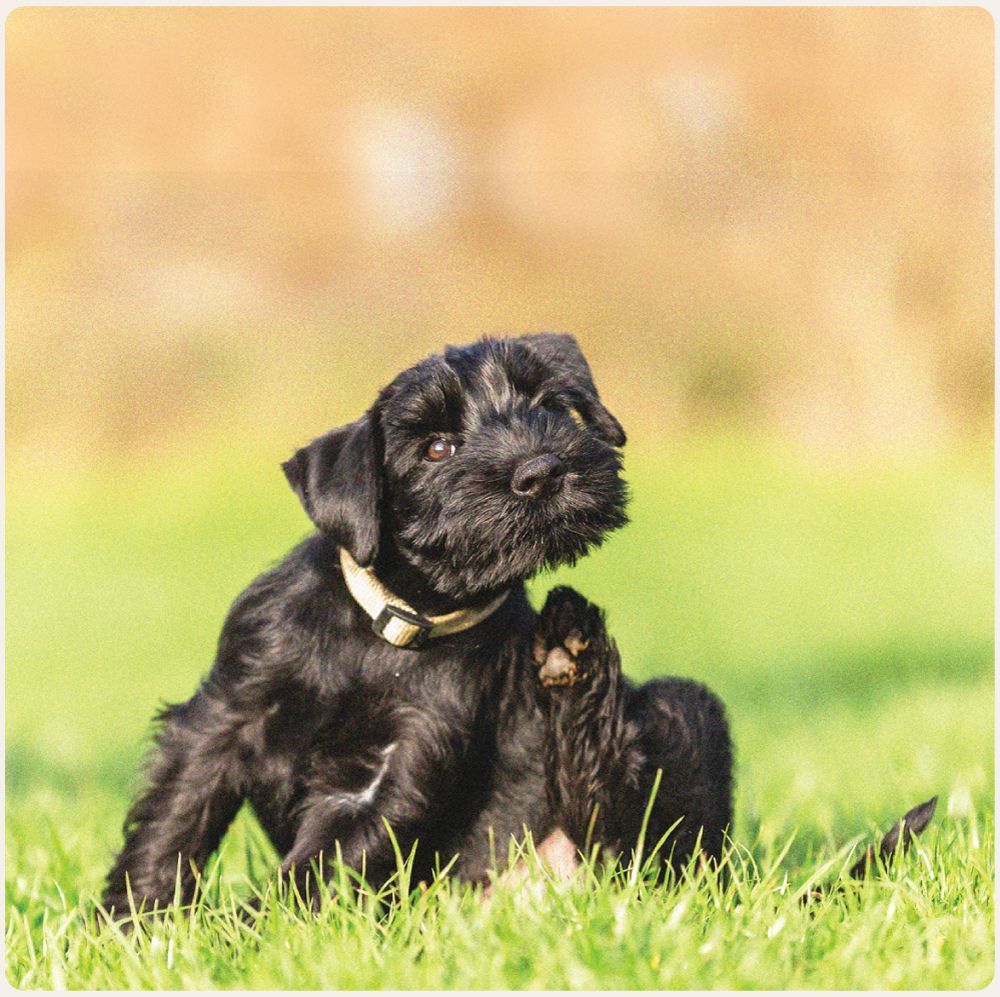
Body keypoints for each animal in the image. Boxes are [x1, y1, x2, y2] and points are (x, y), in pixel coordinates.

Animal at [99, 332, 928, 920]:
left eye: (549, 407)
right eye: (435, 445)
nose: (541, 472)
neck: (389, 628)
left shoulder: (405, 760)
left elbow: (327, 856)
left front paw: (245, 929)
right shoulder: (224, 715)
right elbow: (174, 820)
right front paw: (134, 925)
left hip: (683, 715)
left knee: (622, 825)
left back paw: (573, 650)